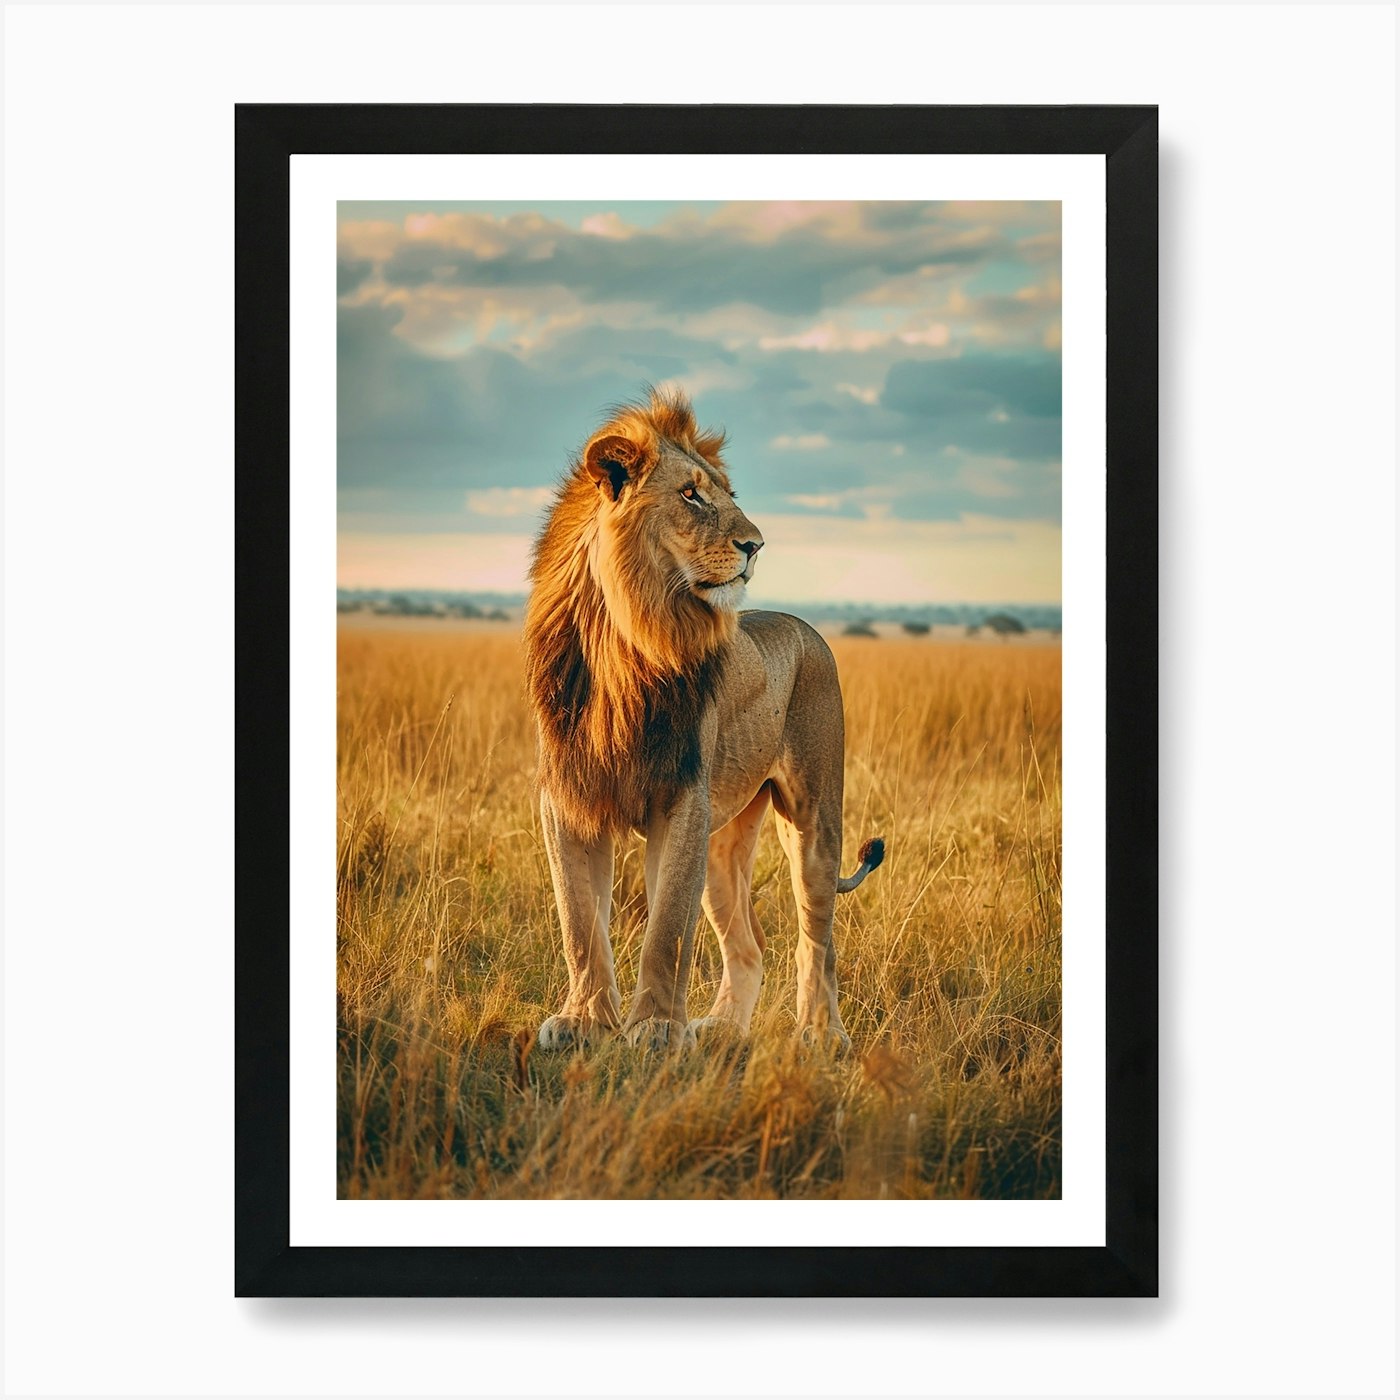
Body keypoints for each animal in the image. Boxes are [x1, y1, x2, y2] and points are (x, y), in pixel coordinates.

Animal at [523, 388, 884, 1052]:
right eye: (691, 494)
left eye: (728, 493)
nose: (756, 545)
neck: (626, 643)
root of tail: (804, 626)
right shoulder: (568, 798)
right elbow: (579, 921)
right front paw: (585, 1021)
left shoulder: (681, 799)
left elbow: (667, 927)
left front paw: (658, 1028)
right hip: (723, 844)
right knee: (750, 943)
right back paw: (720, 1028)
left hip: (814, 819)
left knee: (817, 938)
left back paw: (820, 1034)